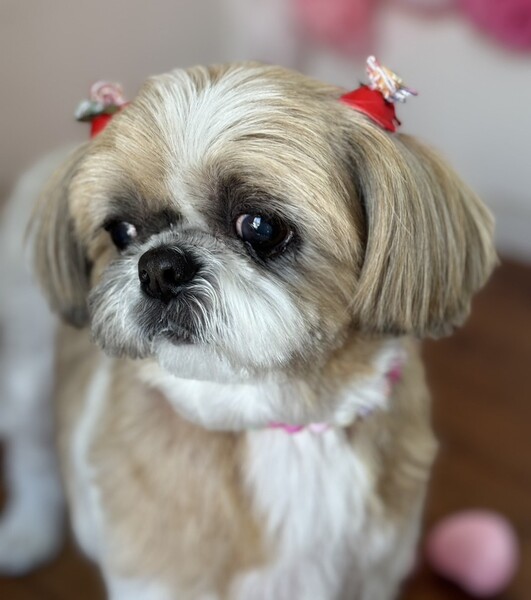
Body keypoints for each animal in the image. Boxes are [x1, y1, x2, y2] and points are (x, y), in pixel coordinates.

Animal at [0, 62, 496, 599]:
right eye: (121, 232)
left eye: (260, 226)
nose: (159, 267)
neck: (282, 424)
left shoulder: (373, 576)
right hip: (26, 373)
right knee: (32, 457)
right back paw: (28, 532)